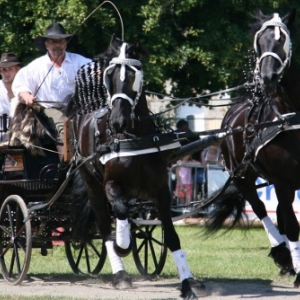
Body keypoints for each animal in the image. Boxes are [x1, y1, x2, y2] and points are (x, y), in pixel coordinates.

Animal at [68, 37, 205, 298]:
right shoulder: (110, 185)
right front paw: (123, 245)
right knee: (105, 226)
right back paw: (120, 273)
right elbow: (119, 212)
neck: (133, 137)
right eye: (110, 76)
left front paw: (188, 283)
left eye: (134, 75)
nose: (117, 121)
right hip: (92, 186)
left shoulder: (161, 190)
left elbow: (171, 236)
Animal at [205, 8, 300, 288]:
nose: (268, 78)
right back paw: (282, 253)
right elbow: (292, 226)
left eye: (282, 39)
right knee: (260, 209)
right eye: (259, 42)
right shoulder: (283, 181)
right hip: (243, 176)